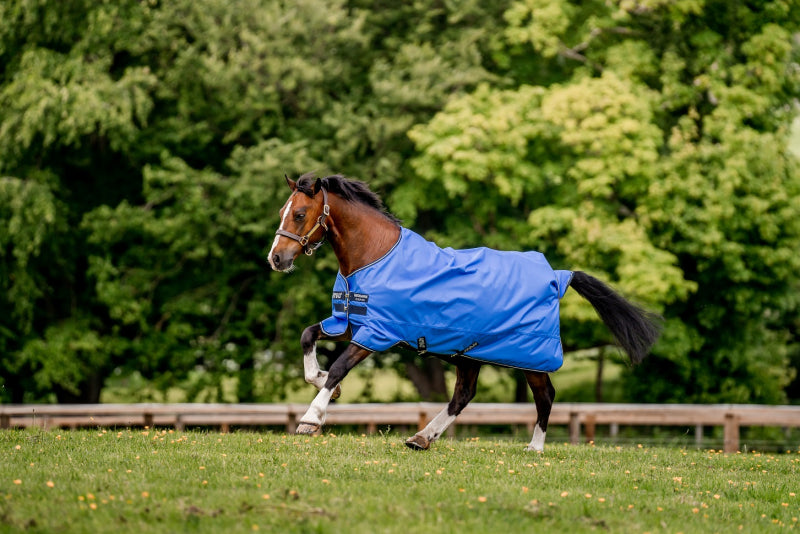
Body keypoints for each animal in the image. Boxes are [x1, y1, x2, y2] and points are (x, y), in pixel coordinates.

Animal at [270, 174, 664, 454]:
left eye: (300, 214)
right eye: (282, 212)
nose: (276, 258)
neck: (375, 255)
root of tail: (557, 274)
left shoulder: (378, 333)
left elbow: (339, 367)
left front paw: (310, 419)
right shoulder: (349, 322)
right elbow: (308, 337)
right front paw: (323, 383)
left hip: (530, 356)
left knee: (545, 395)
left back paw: (534, 447)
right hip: (469, 354)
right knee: (463, 395)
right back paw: (422, 438)